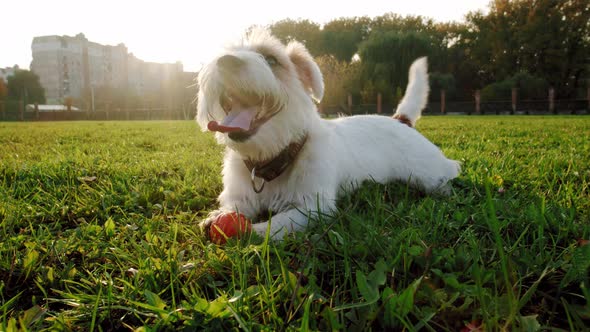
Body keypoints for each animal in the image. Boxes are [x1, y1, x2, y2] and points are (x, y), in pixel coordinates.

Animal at [197, 29, 460, 241]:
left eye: (271, 59)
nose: (224, 62)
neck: (273, 159)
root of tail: (400, 120)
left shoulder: (312, 207)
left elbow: (279, 222)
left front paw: (254, 232)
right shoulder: (240, 197)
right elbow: (233, 207)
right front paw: (218, 217)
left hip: (426, 172)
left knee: (447, 173)